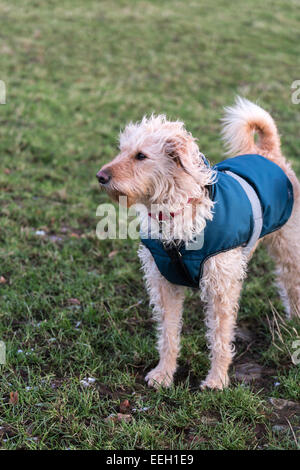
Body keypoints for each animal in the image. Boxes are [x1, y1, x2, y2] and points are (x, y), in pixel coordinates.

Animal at [96, 97, 300, 392]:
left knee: (292, 284)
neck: (173, 213)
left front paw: (217, 380)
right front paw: (164, 374)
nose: (100, 176)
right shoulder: (163, 283)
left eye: (141, 156)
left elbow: (220, 338)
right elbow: (168, 335)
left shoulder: (221, 288)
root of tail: (265, 151)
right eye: (121, 150)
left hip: (289, 249)